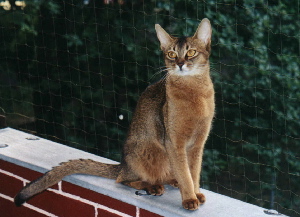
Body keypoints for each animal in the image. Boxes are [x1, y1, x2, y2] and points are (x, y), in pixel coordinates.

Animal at [15, 18, 214, 210]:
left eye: (191, 53)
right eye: (172, 54)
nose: (180, 64)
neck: (195, 93)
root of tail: (122, 165)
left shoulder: (198, 144)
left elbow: (193, 173)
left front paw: (196, 193)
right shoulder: (174, 143)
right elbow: (185, 173)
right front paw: (189, 198)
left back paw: (172, 181)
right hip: (146, 151)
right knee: (123, 179)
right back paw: (153, 186)